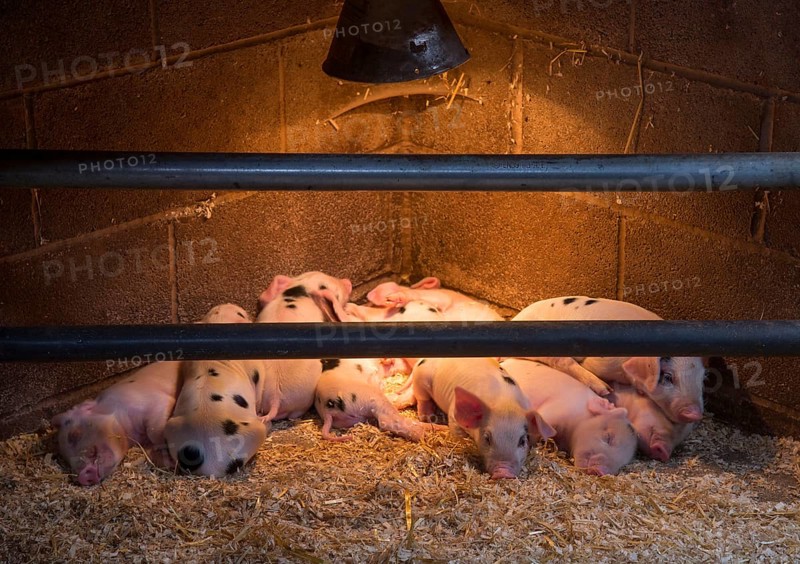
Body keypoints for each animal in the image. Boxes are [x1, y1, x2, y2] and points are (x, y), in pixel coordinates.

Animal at [51, 360, 181, 486]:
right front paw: (169, 462)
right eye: (65, 459)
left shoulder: (155, 401)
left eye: (74, 435)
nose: (82, 477)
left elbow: (153, 431)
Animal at [164, 303, 267, 477]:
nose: (227, 303)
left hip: (172, 426)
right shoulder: (255, 369)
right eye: (240, 313)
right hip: (255, 431)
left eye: (211, 310)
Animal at [410, 356, 555, 479]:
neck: (505, 403)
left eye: (522, 441)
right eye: (487, 439)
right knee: (422, 398)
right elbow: (457, 432)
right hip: (420, 379)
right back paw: (427, 418)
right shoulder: (453, 413)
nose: (503, 473)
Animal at [511, 296, 705, 424]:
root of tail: (517, 318)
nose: (696, 414)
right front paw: (608, 391)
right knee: (562, 361)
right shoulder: (602, 362)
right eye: (668, 377)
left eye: (702, 380)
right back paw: (603, 388)